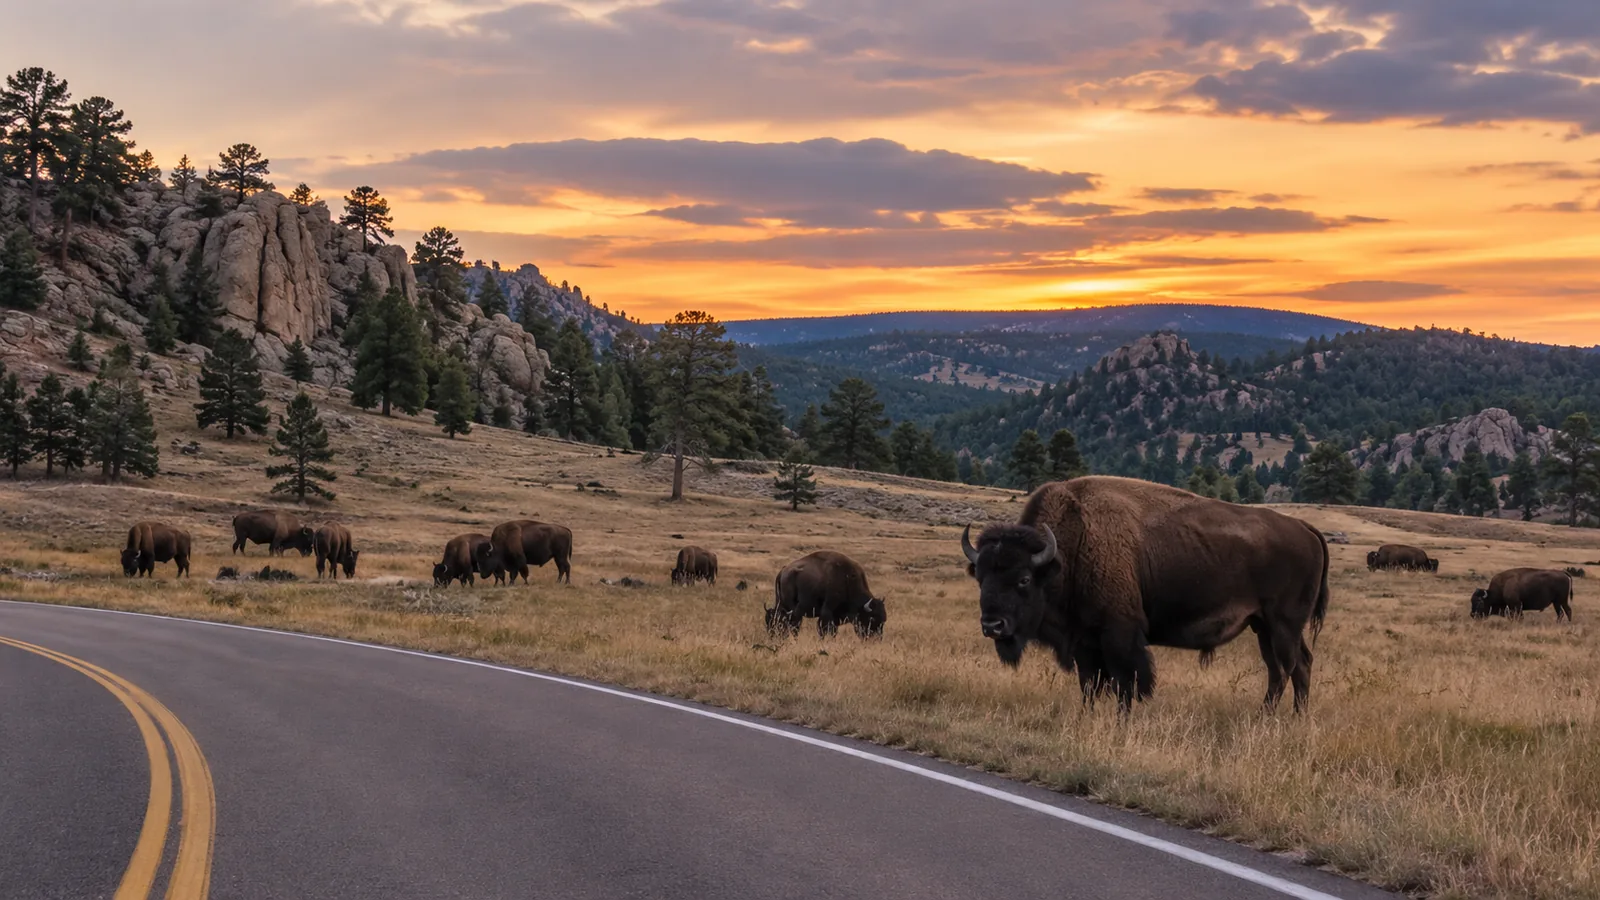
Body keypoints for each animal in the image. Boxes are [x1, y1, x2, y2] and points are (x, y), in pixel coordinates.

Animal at [962, 476, 1329, 713]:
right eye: (980, 577)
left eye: (1024, 579)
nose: (992, 625)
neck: (1071, 548)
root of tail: (1305, 528)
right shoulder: (1085, 641)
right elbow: (1089, 685)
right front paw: (1088, 717)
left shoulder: (1120, 635)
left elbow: (1127, 684)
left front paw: (1122, 722)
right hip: (1263, 626)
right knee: (1291, 667)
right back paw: (1284, 718)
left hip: (1283, 625)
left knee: (1288, 668)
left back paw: (1275, 719)